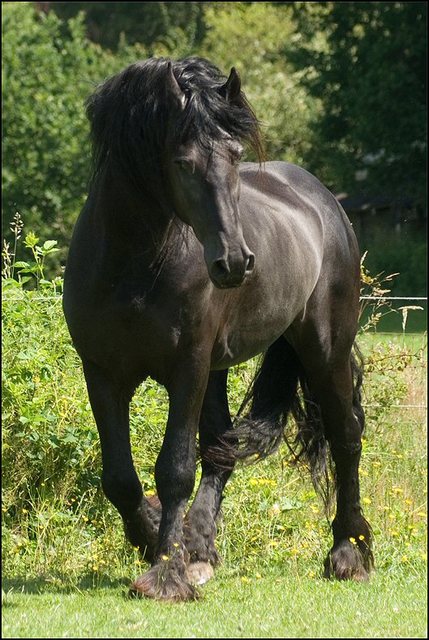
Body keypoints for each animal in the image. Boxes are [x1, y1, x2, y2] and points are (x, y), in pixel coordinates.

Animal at [62, 57, 372, 604]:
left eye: (235, 156)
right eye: (183, 162)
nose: (235, 261)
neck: (130, 266)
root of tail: (325, 202)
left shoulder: (187, 367)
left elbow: (174, 469)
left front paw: (165, 575)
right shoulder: (102, 372)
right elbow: (120, 477)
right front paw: (157, 544)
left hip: (325, 350)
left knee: (345, 435)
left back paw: (348, 554)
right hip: (218, 369)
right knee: (221, 451)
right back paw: (201, 551)